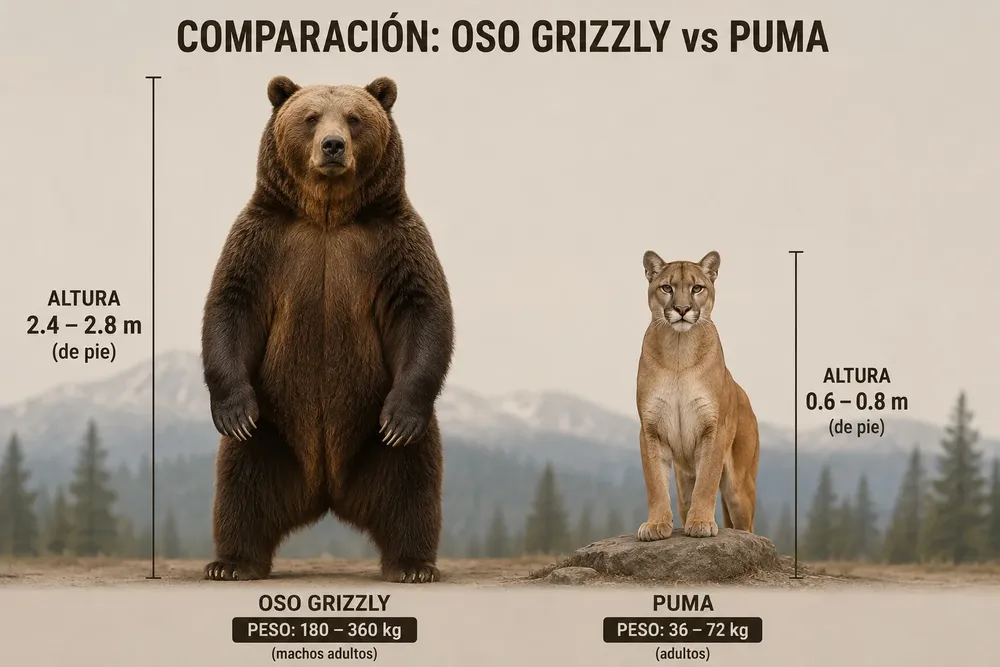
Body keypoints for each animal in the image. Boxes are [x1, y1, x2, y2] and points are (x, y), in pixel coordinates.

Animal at [200, 75, 455, 584]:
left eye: (354, 118)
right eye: (311, 116)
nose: (333, 146)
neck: (327, 215)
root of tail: (327, 490)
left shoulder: (393, 240)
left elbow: (421, 309)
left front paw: (400, 418)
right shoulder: (264, 240)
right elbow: (232, 305)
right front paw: (234, 411)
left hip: (375, 440)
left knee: (411, 483)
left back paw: (413, 564)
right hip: (272, 432)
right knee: (240, 485)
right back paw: (233, 562)